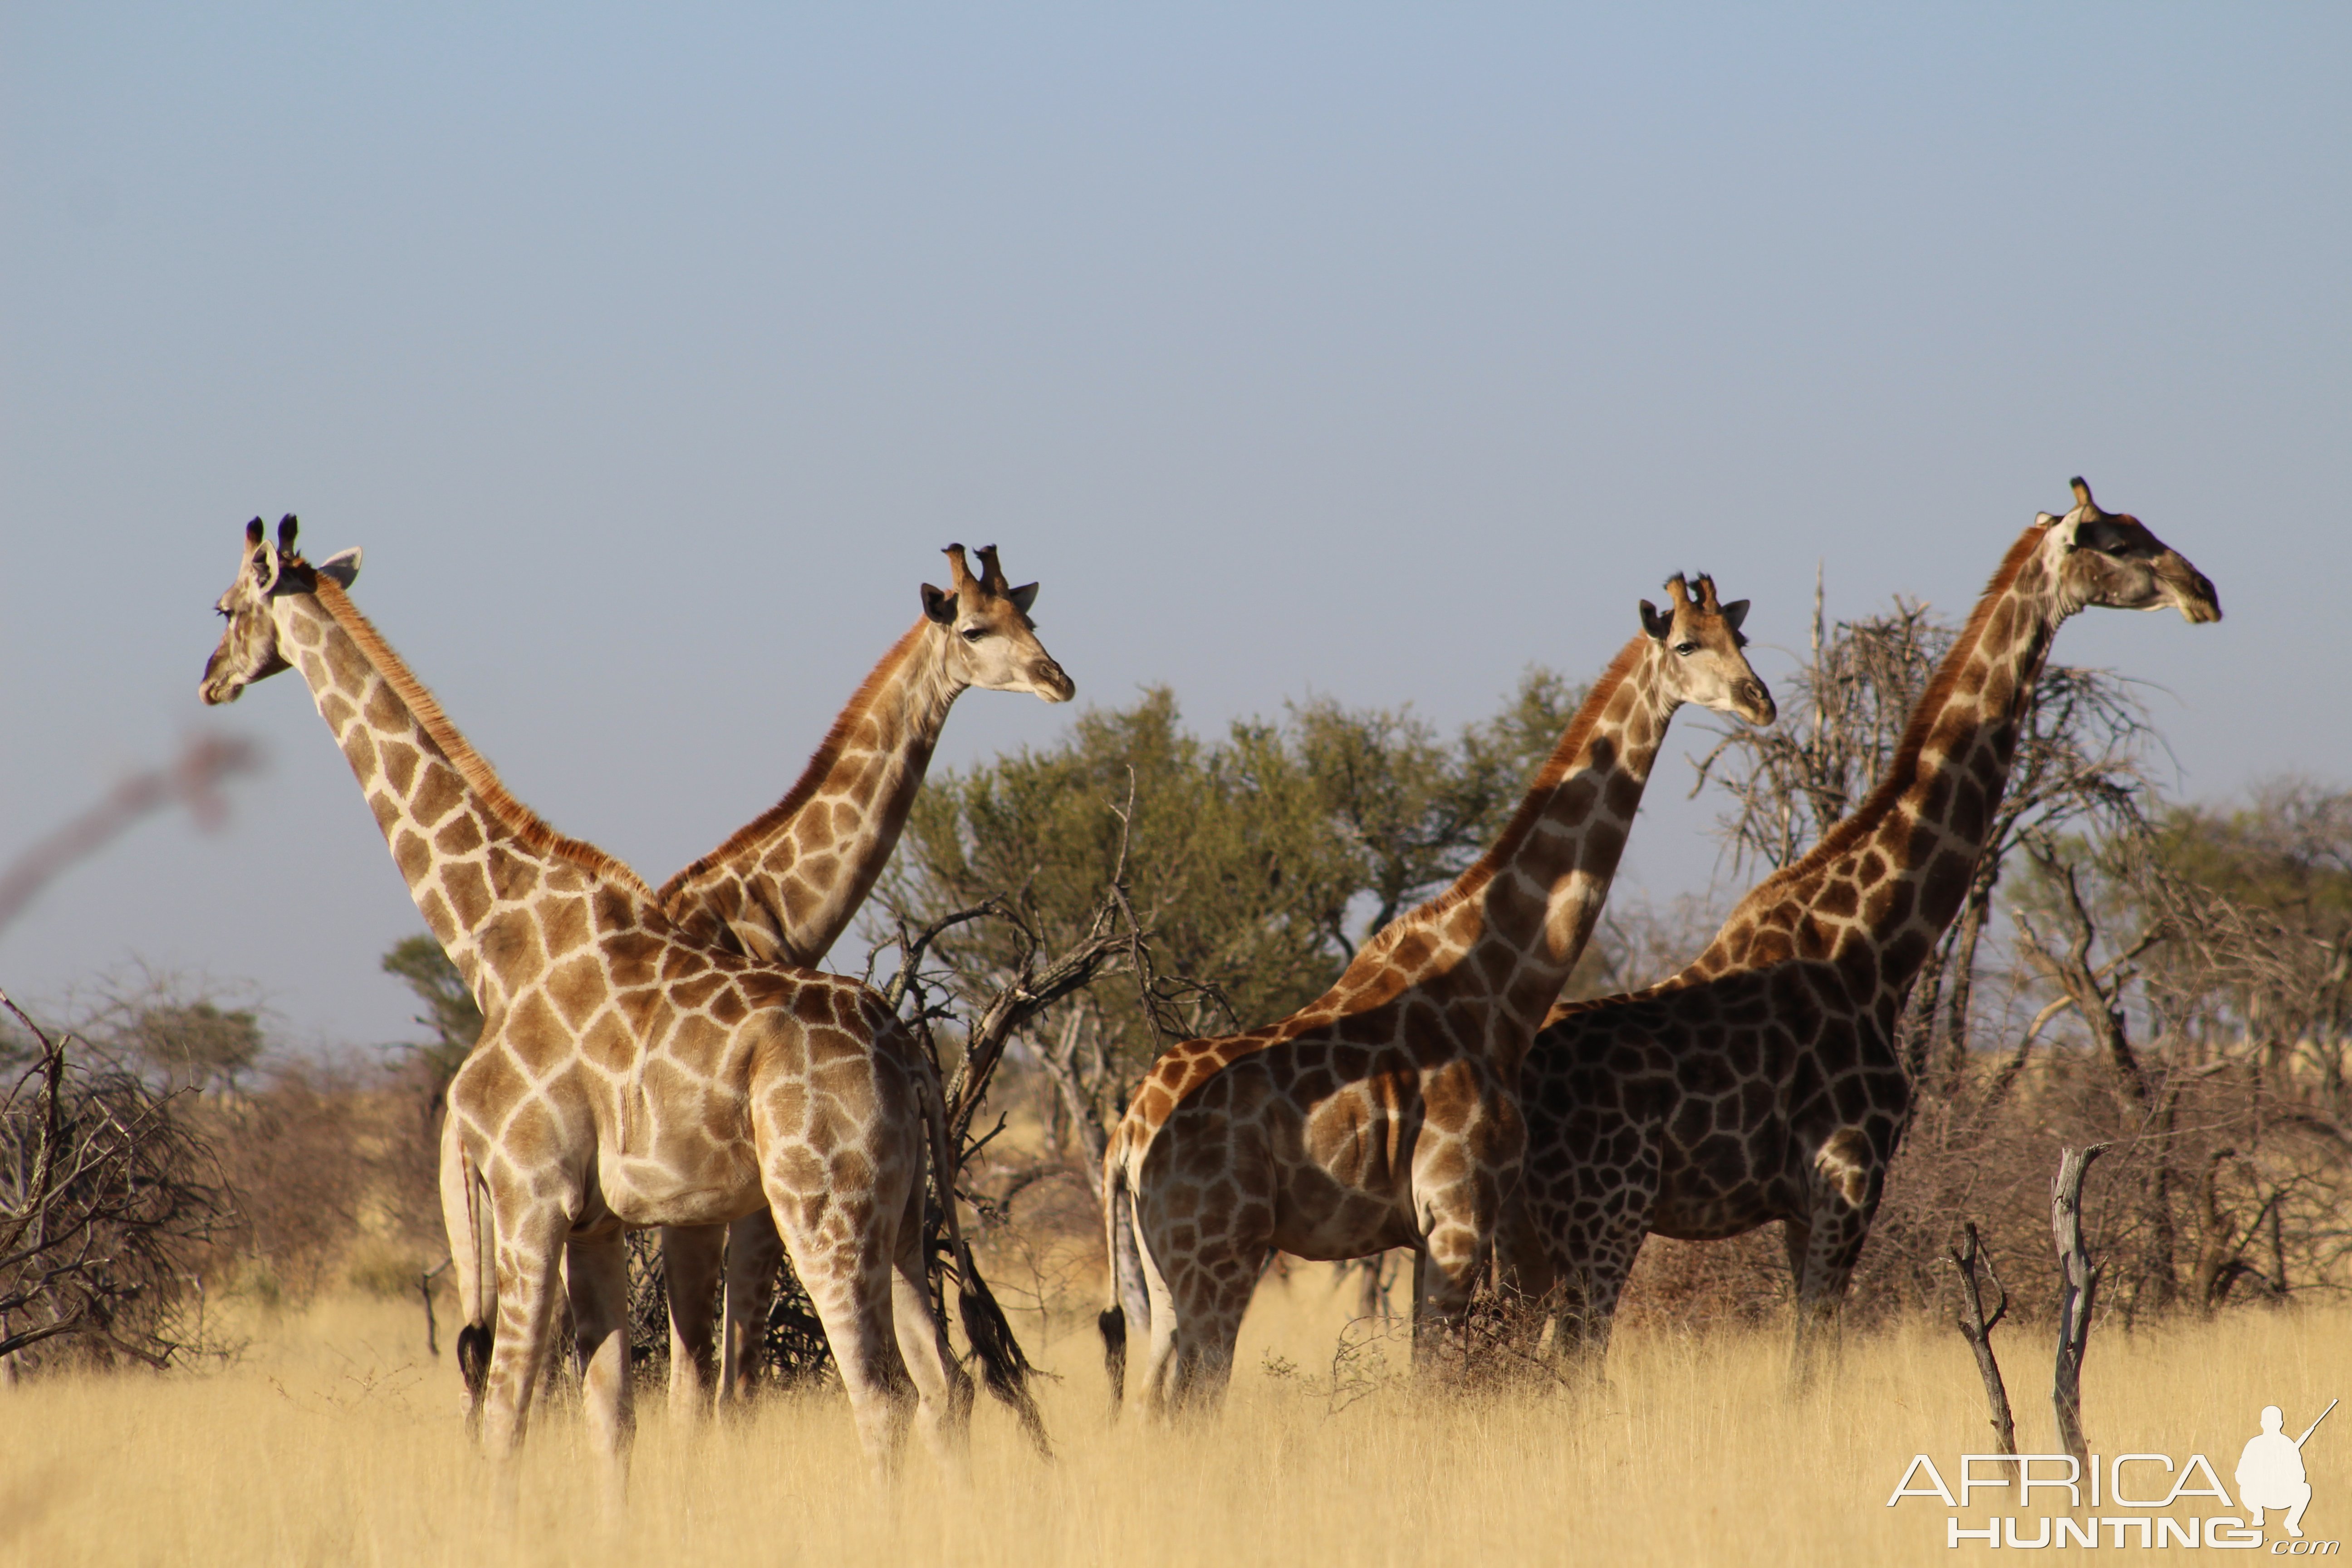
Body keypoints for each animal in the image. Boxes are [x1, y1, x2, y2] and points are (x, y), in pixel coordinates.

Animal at [1101, 571, 1778, 1420]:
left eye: (1740, 637)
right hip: (1218, 1257)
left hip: (1160, 1273)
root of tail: (1126, 1138)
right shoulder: (1457, 1211)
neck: (1494, 986)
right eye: (1687, 643)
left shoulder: (1433, 1230)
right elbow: (1436, 1382)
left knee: (1149, 1402)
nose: (1760, 700)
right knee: (1192, 1397)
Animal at [1505, 475, 2220, 1372]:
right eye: (2118, 543)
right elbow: (1808, 1368)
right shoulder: (1847, 1179)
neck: (1876, 944)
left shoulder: (1801, 1205)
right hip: (1603, 1218)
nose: (2203, 591)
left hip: (1536, 1238)